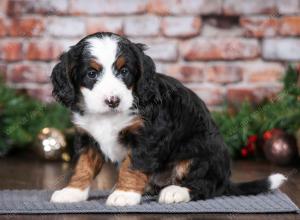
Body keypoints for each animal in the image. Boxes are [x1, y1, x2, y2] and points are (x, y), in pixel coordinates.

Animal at [50, 32, 288, 206]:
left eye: (124, 71)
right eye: (91, 74)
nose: (113, 100)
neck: (109, 116)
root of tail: (226, 180)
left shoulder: (148, 136)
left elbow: (133, 165)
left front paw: (125, 194)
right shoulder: (87, 137)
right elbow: (82, 166)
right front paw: (72, 192)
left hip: (198, 153)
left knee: (205, 186)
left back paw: (175, 192)